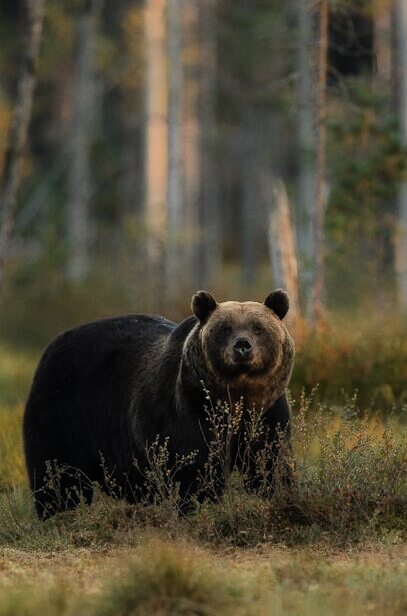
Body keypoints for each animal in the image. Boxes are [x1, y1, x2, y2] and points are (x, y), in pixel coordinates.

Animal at [23, 288, 294, 516]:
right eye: (225, 329)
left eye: (258, 328)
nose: (242, 345)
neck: (235, 396)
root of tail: (52, 344)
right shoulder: (186, 407)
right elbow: (192, 464)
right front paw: (199, 504)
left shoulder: (268, 410)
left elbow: (270, 459)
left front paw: (276, 494)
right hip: (61, 411)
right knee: (56, 473)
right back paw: (58, 512)